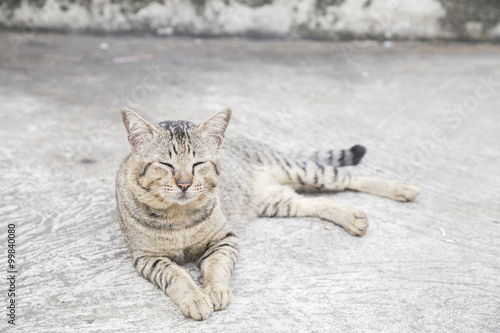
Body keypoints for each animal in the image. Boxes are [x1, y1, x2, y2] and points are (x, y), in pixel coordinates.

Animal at [115, 106, 420, 320]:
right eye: (166, 164)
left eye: (198, 164)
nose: (184, 184)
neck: (180, 215)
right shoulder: (147, 257)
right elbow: (176, 275)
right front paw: (195, 297)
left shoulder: (225, 239)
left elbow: (218, 267)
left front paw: (214, 289)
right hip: (278, 202)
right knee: (316, 202)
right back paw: (351, 217)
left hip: (303, 171)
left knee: (346, 177)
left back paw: (400, 188)